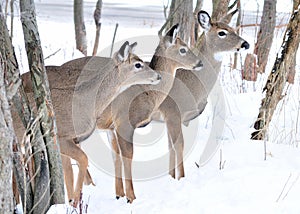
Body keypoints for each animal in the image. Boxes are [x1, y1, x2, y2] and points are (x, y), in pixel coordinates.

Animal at [11, 41, 162, 206]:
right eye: (138, 64)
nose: (158, 76)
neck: (87, 102)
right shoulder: (60, 135)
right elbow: (82, 159)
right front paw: (75, 201)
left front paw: (73, 199)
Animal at [83, 23, 204, 202]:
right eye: (183, 49)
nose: (200, 62)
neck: (146, 91)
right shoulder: (124, 122)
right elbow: (128, 155)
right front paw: (131, 197)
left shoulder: (111, 126)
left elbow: (117, 156)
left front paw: (120, 194)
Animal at [150, 10, 248, 179]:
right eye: (222, 32)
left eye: (234, 29)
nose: (245, 44)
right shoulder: (173, 112)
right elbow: (179, 146)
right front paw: (181, 178)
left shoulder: (173, 118)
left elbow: (171, 147)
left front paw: (171, 177)